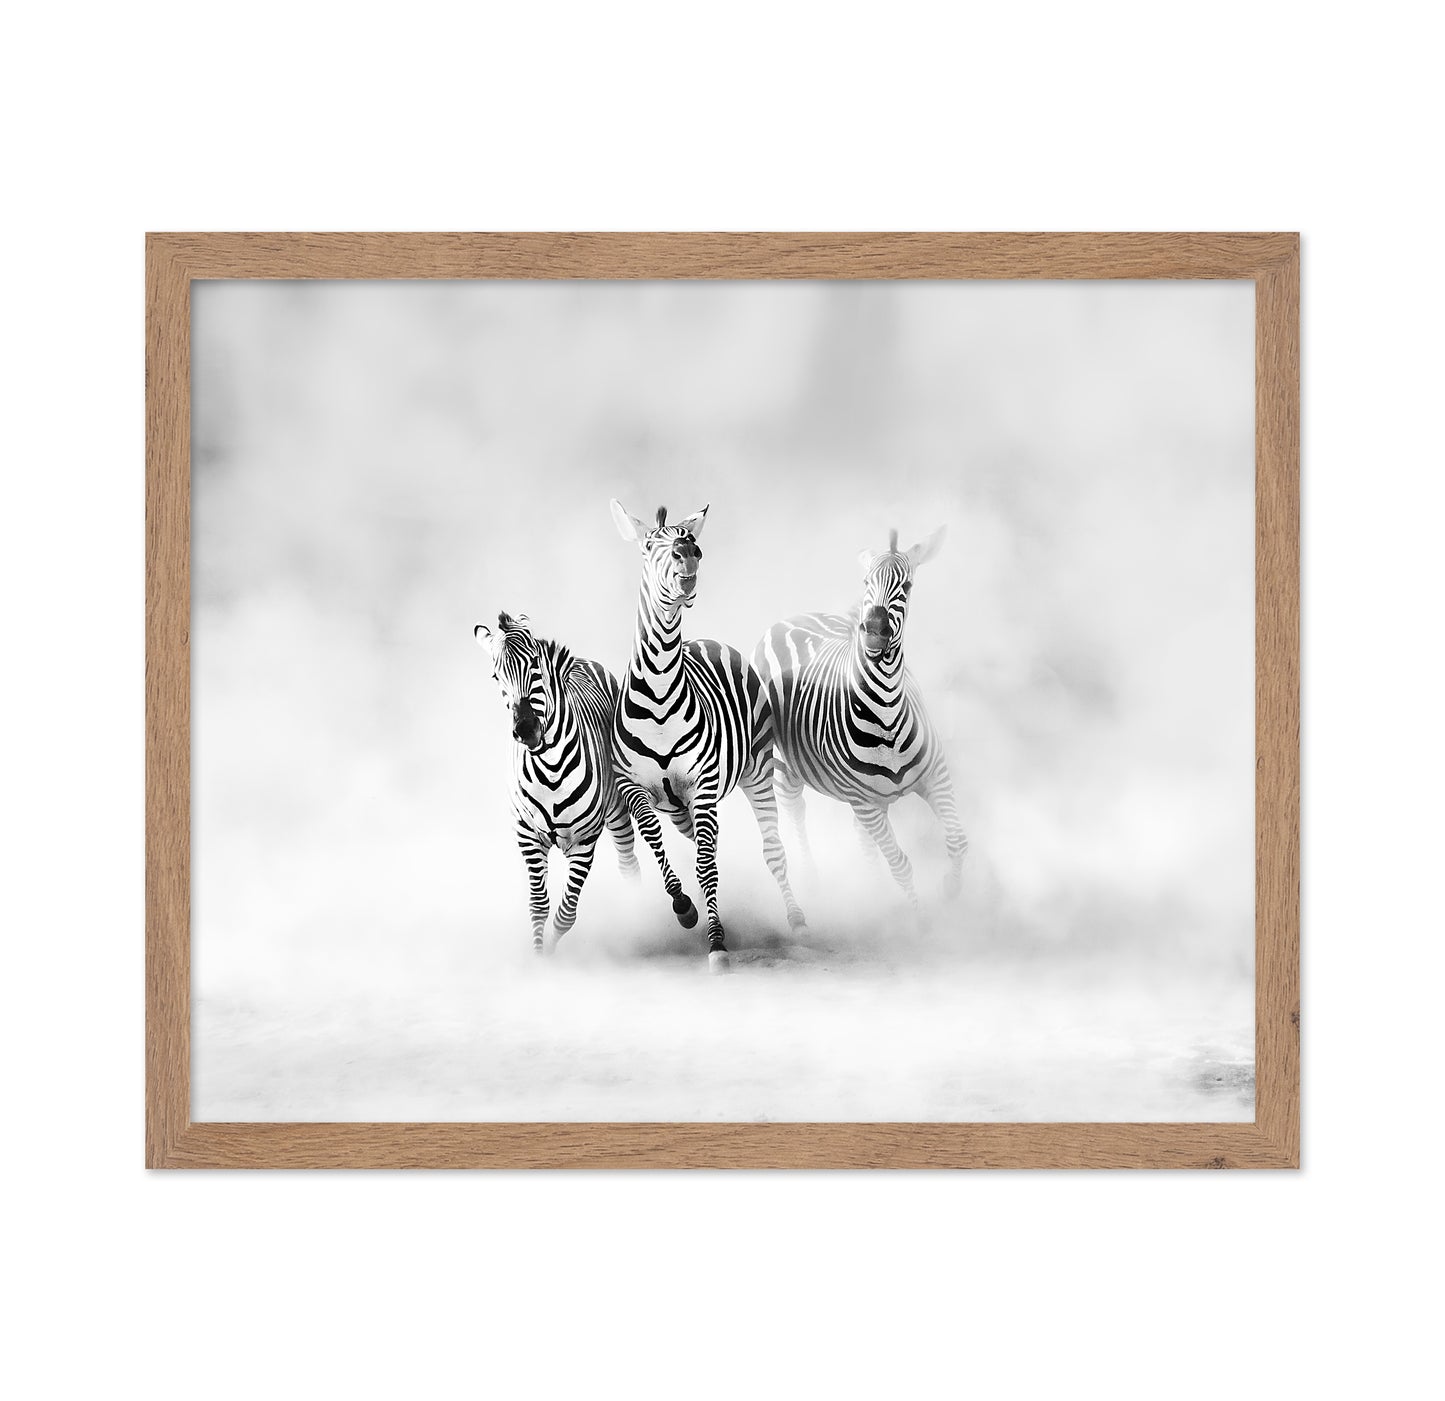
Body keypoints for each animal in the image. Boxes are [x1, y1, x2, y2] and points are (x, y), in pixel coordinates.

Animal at [474, 611, 641, 953]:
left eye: (535, 664)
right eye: (497, 677)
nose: (526, 729)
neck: (550, 769)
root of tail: (581, 661)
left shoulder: (584, 840)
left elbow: (566, 913)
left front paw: (550, 948)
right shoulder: (527, 836)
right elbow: (538, 905)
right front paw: (541, 956)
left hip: (617, 811)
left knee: (629, 864)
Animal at [610, 500, 807, 972]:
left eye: (689, 539)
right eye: (649, 546)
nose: (689, 554)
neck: (660, 691)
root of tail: (709, 641)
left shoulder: (701, 785)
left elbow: (705, 865)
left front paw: (717, 942)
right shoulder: (633, 787)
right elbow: (656, 841)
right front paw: (684, 908)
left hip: (756, 770)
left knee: (771, 848)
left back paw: (796, 921)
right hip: (680, 806)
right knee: (699, 841)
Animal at [753, 527, 967, 909]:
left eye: (907, 586)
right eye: (866, 581)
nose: (874, 631)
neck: (886, 711)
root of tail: (791, 619)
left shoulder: (935, 775)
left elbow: (957, 839)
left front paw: (951, 889)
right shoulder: (865, 802)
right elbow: (900, 864)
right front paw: (919, 917)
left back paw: (873, 889)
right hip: (784, 763)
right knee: (795, 808)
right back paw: (813, 882)